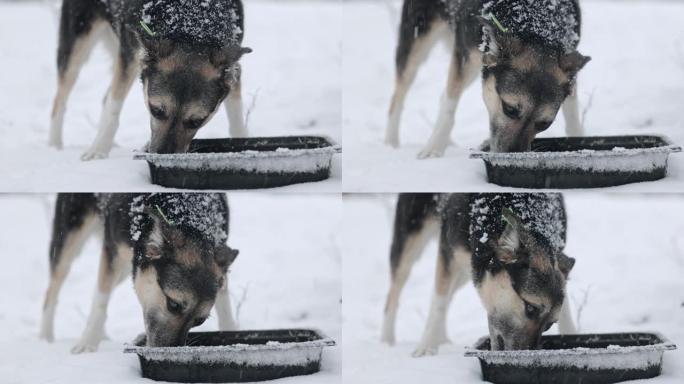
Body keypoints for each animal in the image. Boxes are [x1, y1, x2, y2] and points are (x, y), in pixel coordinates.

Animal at [40, 194, 240, 352]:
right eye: (173, 304)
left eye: (200, 321)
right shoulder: (111, 251)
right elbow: (101, 299)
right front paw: (88, 342)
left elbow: (224, 306)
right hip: (70, 237)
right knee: (52, 291)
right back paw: (45, 338)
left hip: (127, 269)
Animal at [48, 0, 251, 159]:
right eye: (156, 111)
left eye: (196, 121)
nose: (163, 155)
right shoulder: (129, 55)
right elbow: (114, 107)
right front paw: (98, 150)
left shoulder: (233, 68)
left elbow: (236, 117)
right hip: (78, 41)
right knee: (60, 100)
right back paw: (54, 147)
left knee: (104, 97)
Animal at [382, 194, 576, 356]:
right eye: (530, 308)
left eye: (549, 325)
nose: (527, 353)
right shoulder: (447, 252)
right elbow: (439, 302)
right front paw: (426, 347)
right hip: (411, 240)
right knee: (393, 294)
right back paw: (387, 341)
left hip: (465, 270)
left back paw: (441, 339)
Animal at [388, 0, 592, 158]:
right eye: (509, 109)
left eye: (544, 124)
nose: (513, 154)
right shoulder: (464, 57)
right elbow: (449, 106)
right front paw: (434, 148)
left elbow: (572, 114)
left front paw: (578, 139)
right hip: (419, 36)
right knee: (398, 97)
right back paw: (391, 144)